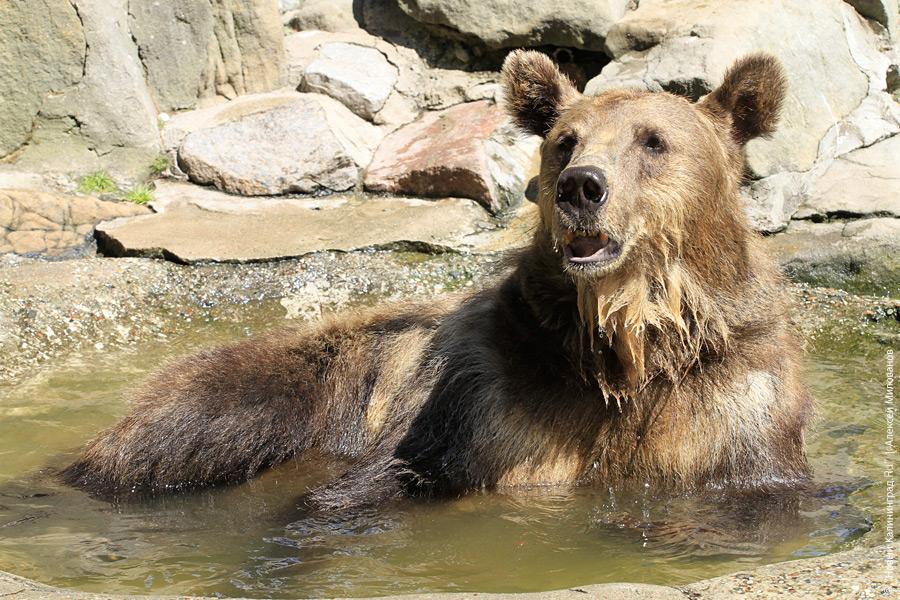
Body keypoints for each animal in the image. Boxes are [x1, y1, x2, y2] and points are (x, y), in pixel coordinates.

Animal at [63, 51, 814, 510]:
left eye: (653, 141)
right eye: (564, 140)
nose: (581, 185)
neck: (627, 342)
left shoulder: (729, 404)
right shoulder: (488, 403)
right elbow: (378, 481)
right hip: (286, 383)